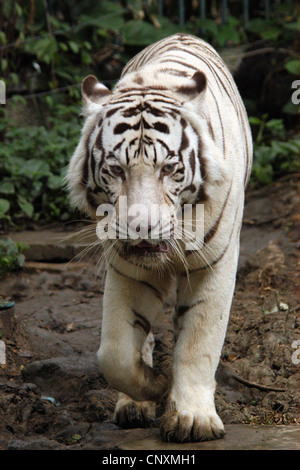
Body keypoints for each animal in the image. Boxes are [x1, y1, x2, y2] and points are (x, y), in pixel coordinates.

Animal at [67, 34, 252, 444]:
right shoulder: (128, 269)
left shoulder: (215, 263)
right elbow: (115, 352)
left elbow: (199, 341)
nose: (142, 227)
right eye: (115, 170)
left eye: (169, 169)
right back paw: (133, 405)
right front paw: (155, 385)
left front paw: (193, 419)